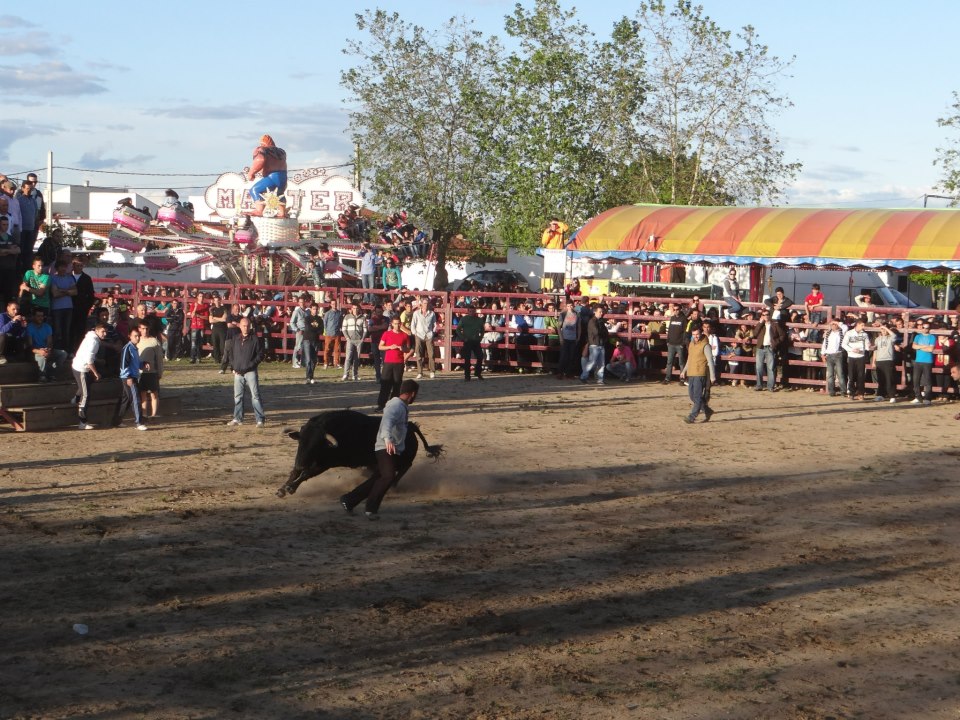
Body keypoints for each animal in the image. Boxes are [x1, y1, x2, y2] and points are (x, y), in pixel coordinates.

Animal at [276, 408, 444, 498]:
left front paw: (291, 488)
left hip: (402, 460)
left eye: (316, 445)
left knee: (405, 467)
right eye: (300, 442)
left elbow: (306, 473)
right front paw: (282, 489)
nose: (300, 463)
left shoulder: (325, 463)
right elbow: (295, 472)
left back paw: (393, 485)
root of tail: (410, 427)